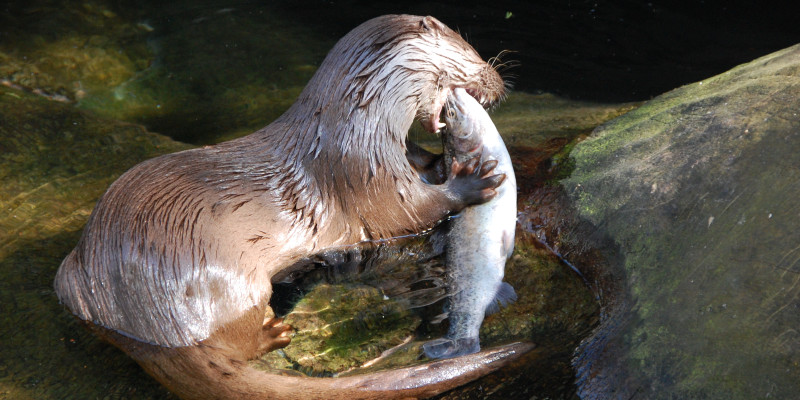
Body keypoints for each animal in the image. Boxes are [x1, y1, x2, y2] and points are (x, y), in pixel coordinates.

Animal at [53, 14, 528, 398]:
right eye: (471, 50)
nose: (499, 82)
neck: (355, 129)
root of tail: (139, 316)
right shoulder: (366, 178)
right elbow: (412, 210)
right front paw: (473, 179)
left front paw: (442, 161)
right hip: (229, 280)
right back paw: (274, 333)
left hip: (71, 278)